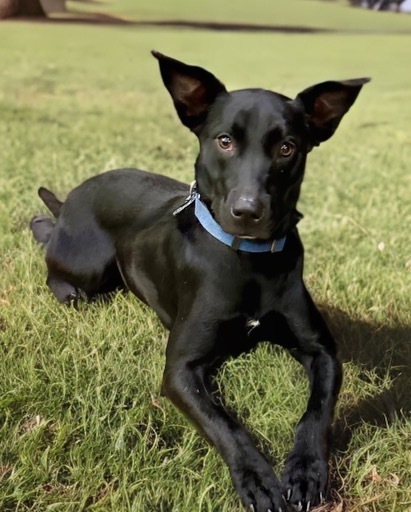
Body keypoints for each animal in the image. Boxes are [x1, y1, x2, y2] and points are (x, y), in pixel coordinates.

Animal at [29, 53, 370, 512]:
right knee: (54, 259)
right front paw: (257, 479)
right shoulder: (181, 370)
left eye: (287, 147)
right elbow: (224, 424)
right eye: (224, 141)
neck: (248, 260)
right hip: (87, 263)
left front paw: (305, 471)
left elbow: (316, 412)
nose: (248, 211)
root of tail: (71, 197)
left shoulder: (322, 352)